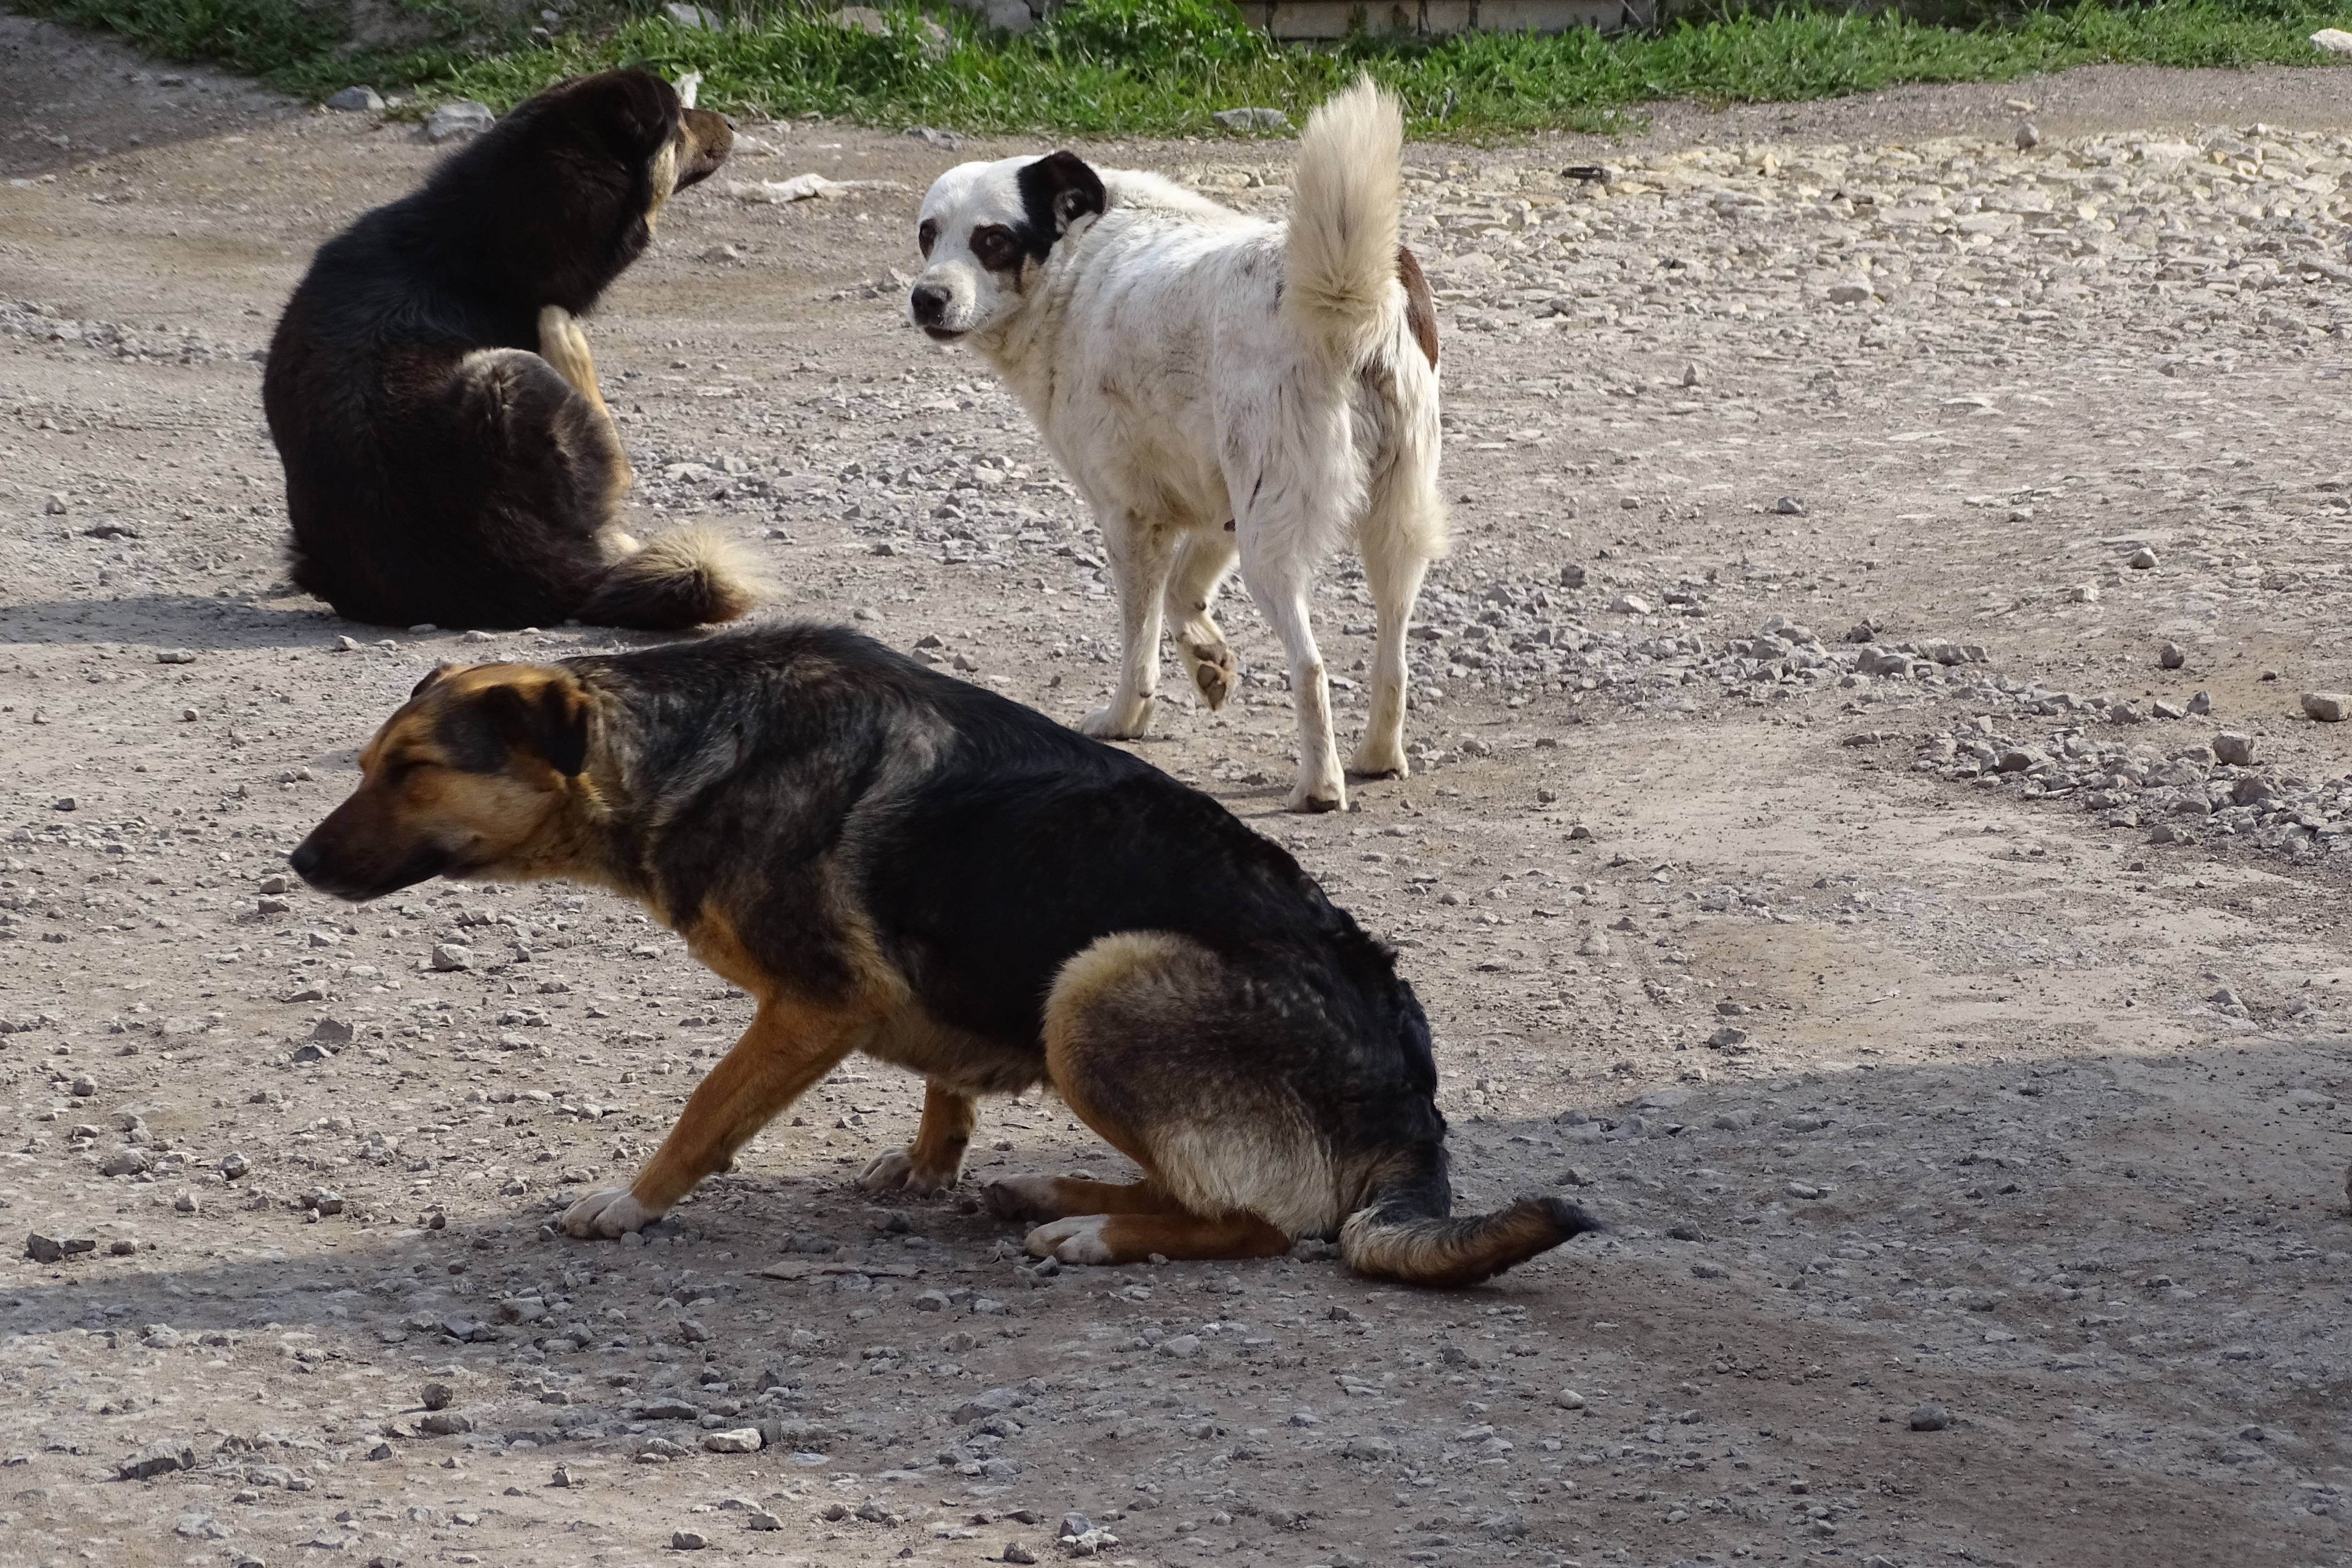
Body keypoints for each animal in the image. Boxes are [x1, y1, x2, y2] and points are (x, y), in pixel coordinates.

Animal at [284, 625, 1590, 1288]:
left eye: (413, 771)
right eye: (367, 764)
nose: (295, 863)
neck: (689, 739)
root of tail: (1411, 1103)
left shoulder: (813, 1004)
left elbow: (706, 1110)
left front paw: (630, 1202)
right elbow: (943, 1085)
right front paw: (931, 1163)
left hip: (1097, 983)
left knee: (1263, 1222)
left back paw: (1090, 1231)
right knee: (1208, 1188)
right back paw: (1049, 1191)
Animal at [908, 80, 1439, 818]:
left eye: (992, 241)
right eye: (928, 234)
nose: (925, 299)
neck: (1076, 261)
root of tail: (1345, 302)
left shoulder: (1132, 521)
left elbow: (1140, 640)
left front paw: (1126, 718)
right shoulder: (1218, 509)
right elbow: (1188, 595)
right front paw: (1210, 661)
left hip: (1273, 545)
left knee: (1310, 667)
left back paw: (1320, 786)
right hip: (1392, 525)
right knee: (1394, 655)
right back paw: (1377, 758)